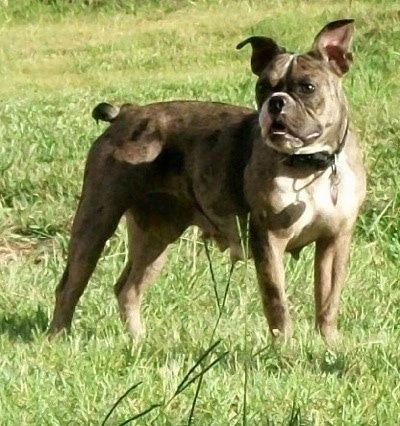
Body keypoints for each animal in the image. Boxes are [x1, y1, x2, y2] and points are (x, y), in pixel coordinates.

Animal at [47, 20, 366, 342]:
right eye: (262, 87)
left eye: (307, 87)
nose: (276, 102)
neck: (310, 166)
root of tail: (125, 112)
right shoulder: (268, 241)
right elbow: (277, 302)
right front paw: (284, 346)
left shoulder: (334, 241)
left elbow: (328, 300)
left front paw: (329, 343)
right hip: (95, 221)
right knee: (70, 286)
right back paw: (58, 336)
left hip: (156, 236)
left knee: (128, 288)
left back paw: (138, 339)